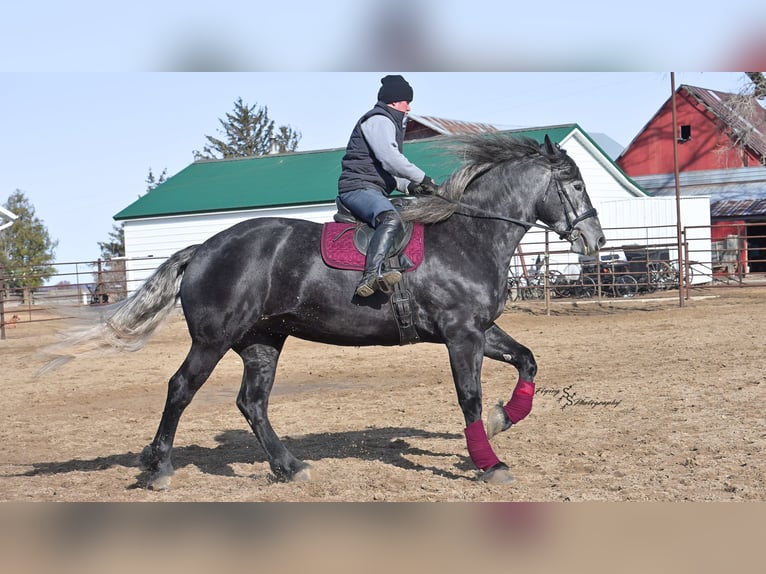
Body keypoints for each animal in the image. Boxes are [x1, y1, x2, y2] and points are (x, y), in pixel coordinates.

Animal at [42, 133, 605, 489]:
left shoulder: (480, 330)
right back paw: (159, 468)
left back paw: (290, 467)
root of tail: (203, 247)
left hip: (262, 342)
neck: (468, 235)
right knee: (181, 389)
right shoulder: (461, 335)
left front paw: (503, 420)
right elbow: (469, 398)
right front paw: (489, 460)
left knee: (252, 403)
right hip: (213, 339)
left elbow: (527, 360)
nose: (595, 240)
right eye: (576, 185)